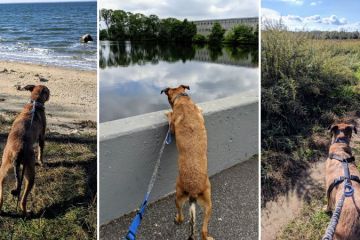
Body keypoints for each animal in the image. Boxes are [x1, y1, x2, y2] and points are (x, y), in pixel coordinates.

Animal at [0, 85, 50, 216]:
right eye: (47, 91)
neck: (34, 103)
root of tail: (17, 151)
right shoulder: (42, 136)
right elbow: (41, 150)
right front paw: (41, 162)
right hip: (30, 175)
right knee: (23, 199)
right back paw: (26, 212)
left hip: (3, 172)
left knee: (1, 196)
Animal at [161, 85, 214, 240]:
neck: (182, 99)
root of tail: (193, 190)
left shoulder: (172, 128)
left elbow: (170, 121)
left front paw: (168, 113)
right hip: (209, 203)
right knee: (203, 230)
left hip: (178, 196)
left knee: (181, 214)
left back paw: (178, 219)